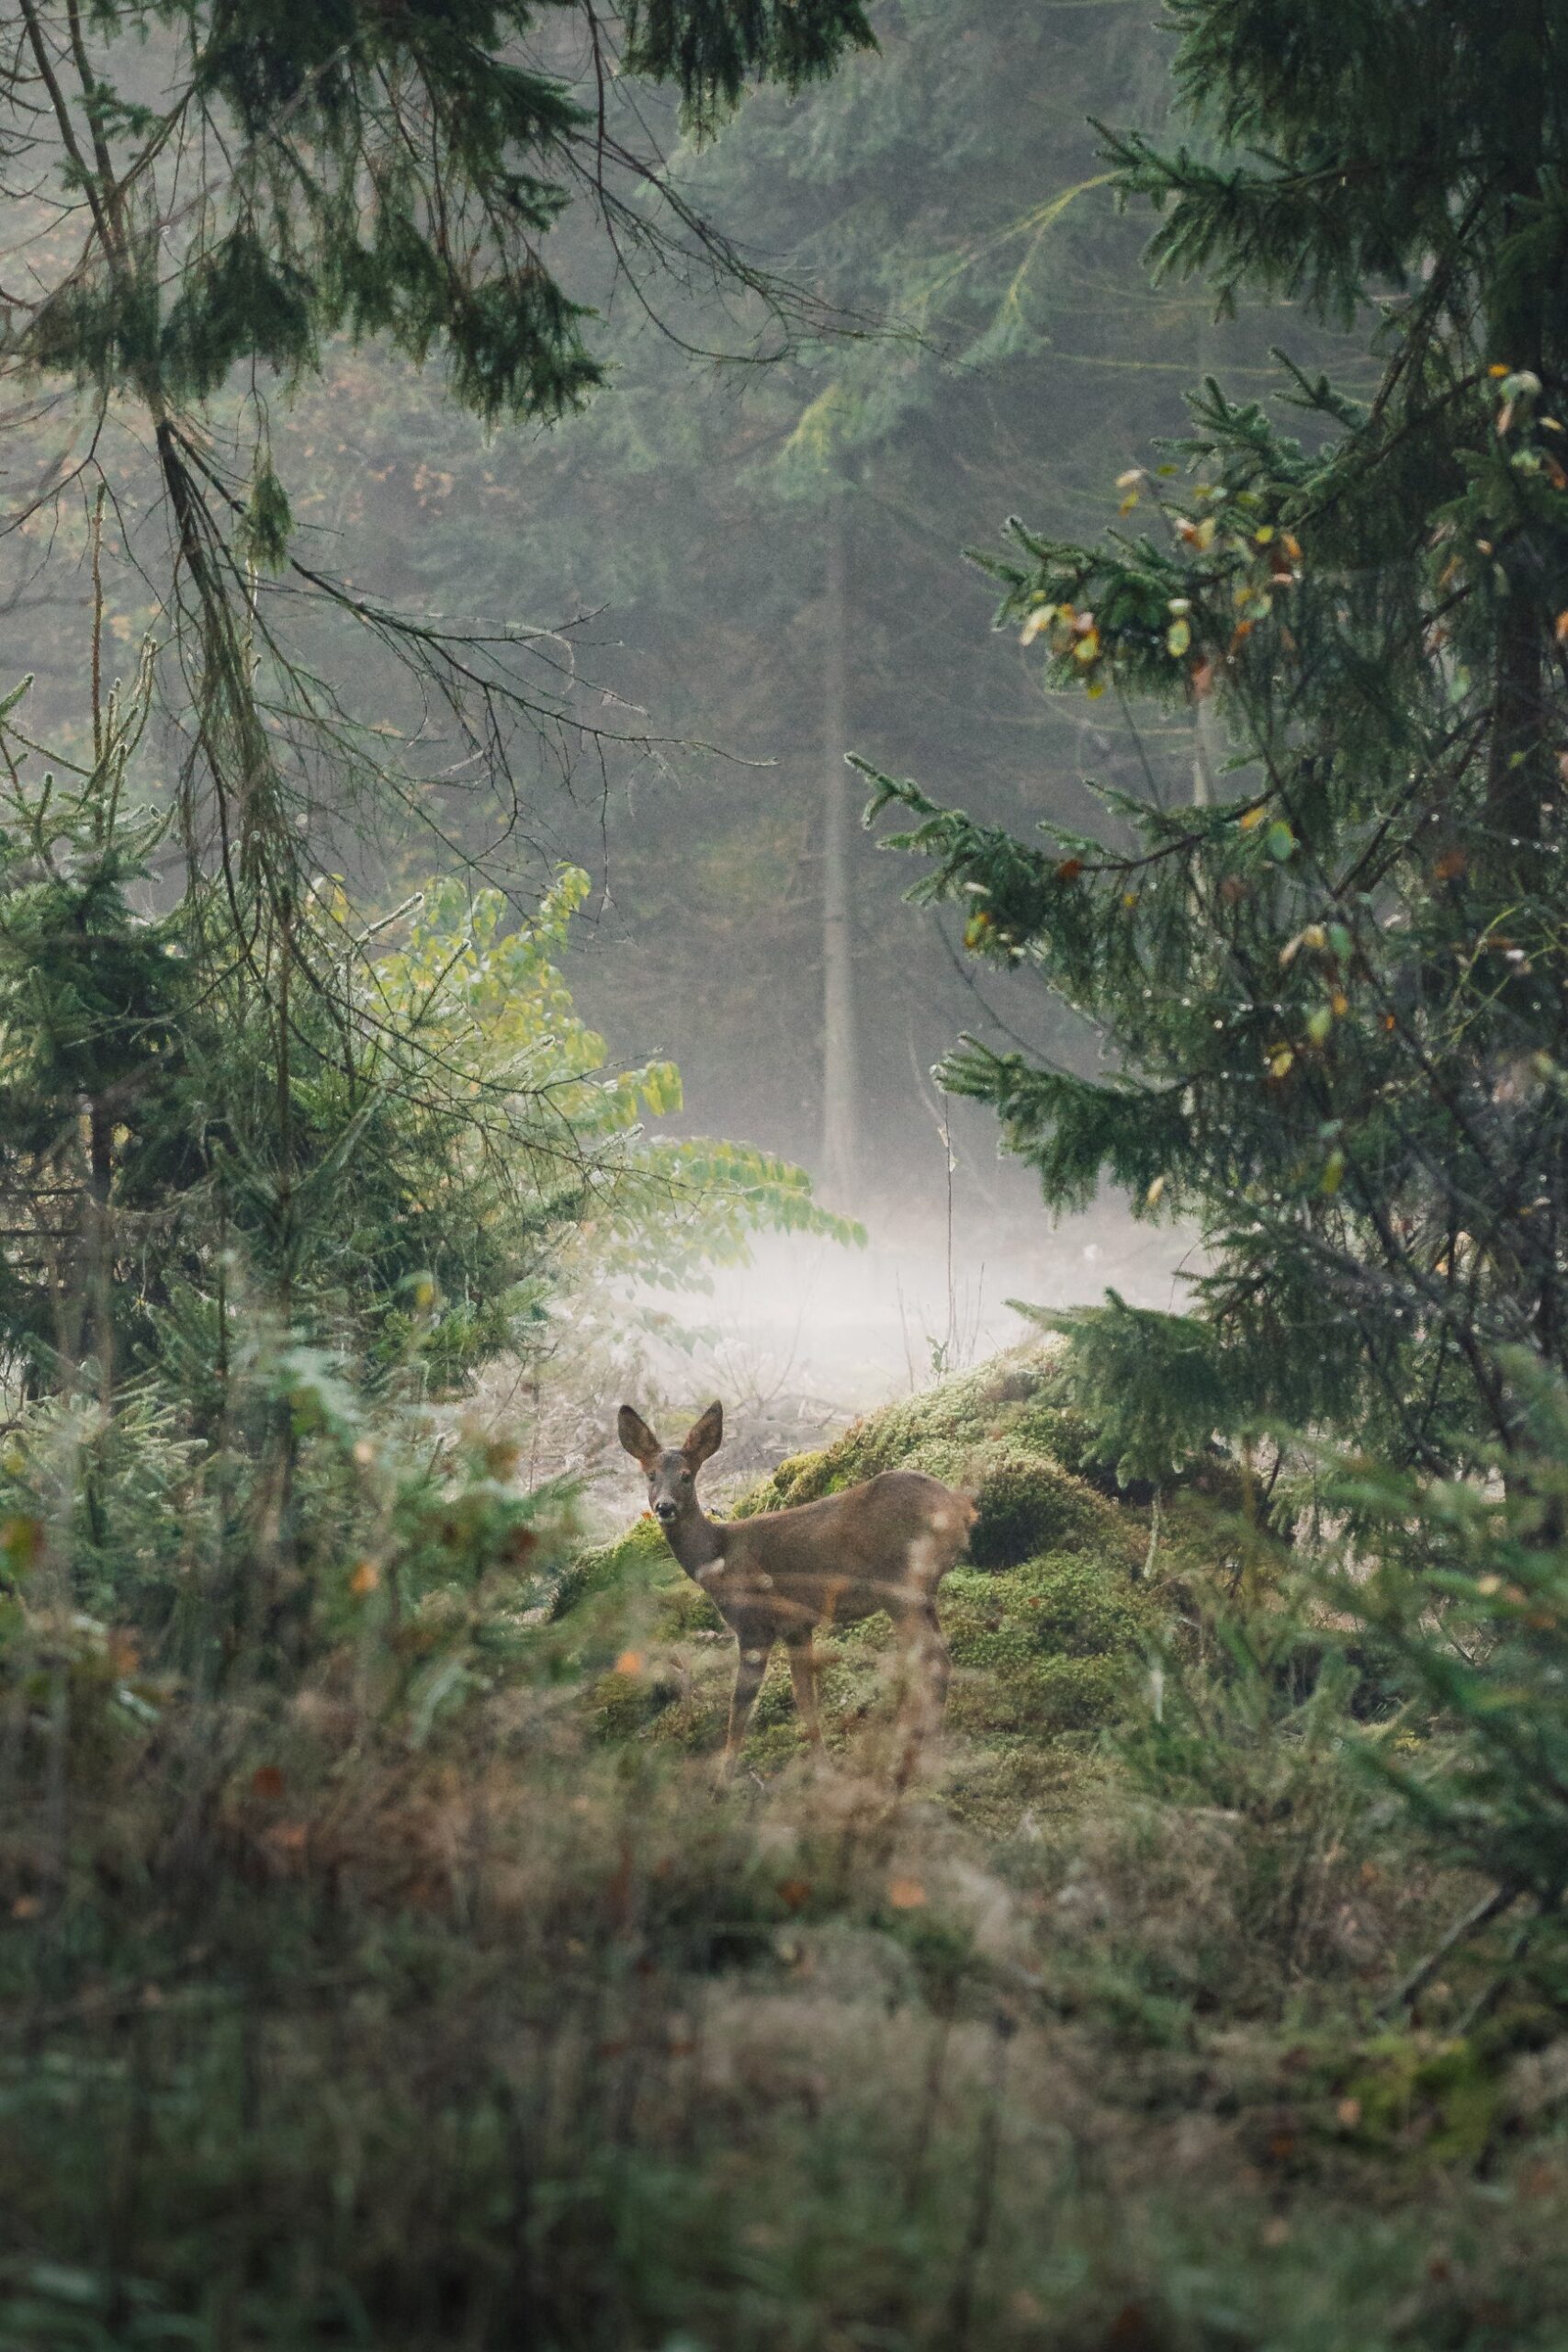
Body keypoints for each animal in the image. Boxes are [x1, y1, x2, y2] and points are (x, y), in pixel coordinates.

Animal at [620, 1392, 973, 1778]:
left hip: (900, 1586)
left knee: (931, 1662)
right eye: (651, 1475)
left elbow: (741, 1705)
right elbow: (805, 1697)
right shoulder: (797, 1626)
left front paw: (723, 1780)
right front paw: (823, 1767)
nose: (664, 1507)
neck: (717, 1557)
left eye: (686, 1476)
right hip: (920, 1594)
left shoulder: (755, 1623)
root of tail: (958, 1510)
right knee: (936, 1659)